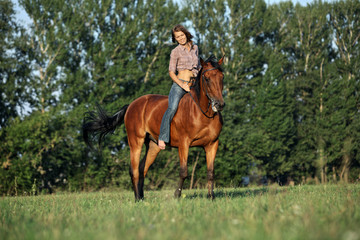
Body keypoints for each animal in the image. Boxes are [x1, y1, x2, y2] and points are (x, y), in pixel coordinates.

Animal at [83, 55, 225, 201]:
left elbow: (211, 172)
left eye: (222, 77)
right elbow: (183, 171)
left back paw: (141, 197)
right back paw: (137, 199)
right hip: (135, 142)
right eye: (206, 78)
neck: (203, 113)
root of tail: (131, 105)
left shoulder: (212, 144)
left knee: (142, 169)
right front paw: (177, 195)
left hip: (153, 146)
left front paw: (211, 197)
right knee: (134, 170)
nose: (219, 104)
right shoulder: (184, 144)